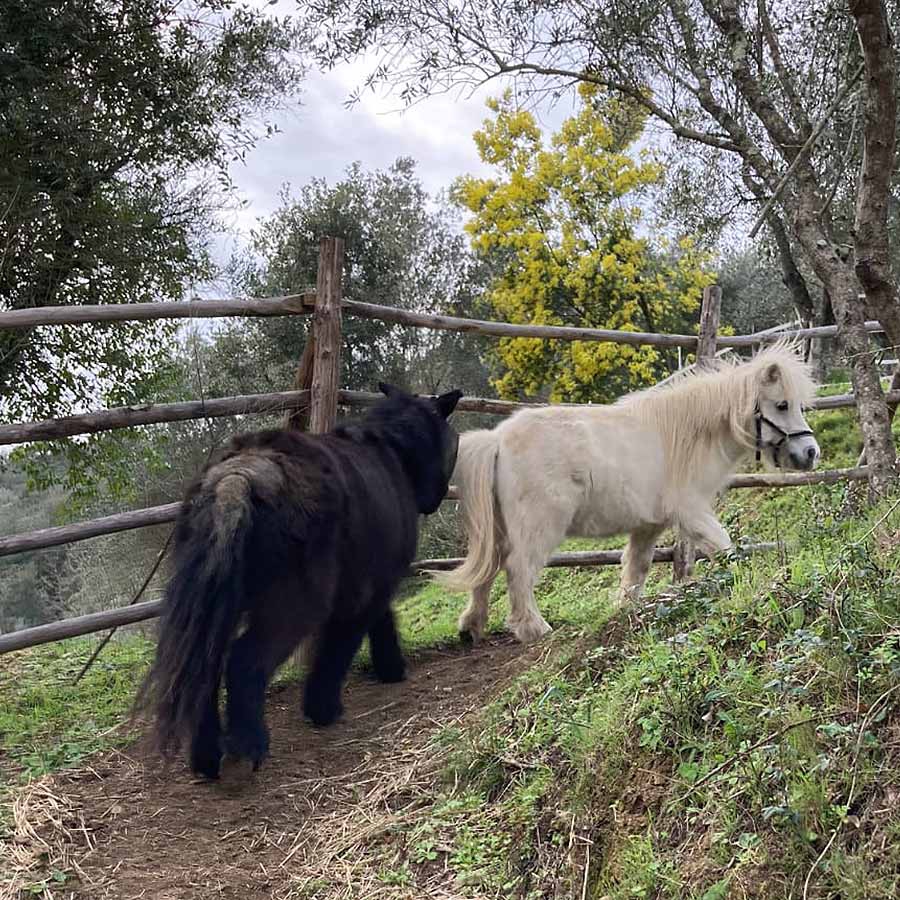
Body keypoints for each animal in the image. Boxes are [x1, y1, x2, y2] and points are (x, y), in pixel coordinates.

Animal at [137, 383, 462, 779]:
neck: (393, 449)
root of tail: (237, 479)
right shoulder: (365, 590)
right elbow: (341, 647)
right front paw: (325, 708)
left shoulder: (370, 582)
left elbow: (381, 623)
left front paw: (390, 670)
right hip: (296, 602)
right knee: (244, 660)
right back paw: (246, 750)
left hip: (216, 604)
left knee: (205, 669)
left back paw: (206, 758)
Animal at [441, 342, 819, 644]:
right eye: (782, 405)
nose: (811, 453)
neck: (687, 435)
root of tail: (497, 440)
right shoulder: (691, 512)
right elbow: (725, 549)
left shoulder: (648, 525)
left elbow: (636, 570)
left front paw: (626, 611)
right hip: (539, 527)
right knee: (518, 568)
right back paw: (533, 628)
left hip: (502, 527)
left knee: (489, 567)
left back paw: (472, 627)